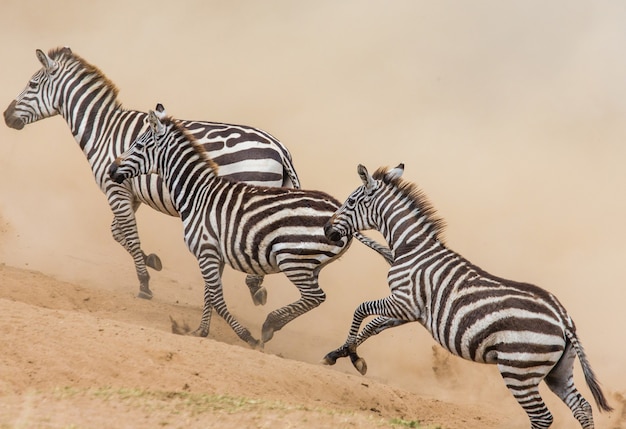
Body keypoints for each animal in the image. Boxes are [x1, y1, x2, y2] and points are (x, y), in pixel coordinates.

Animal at [3, 46, 300, 302]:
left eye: (32, 85)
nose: (6, 116)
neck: (104, 130)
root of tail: (280, 148)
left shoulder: (116, 190)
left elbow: (130, 235)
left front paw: (144, 283)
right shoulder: (129, 192)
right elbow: (117, 233)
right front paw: (152, 261)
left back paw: (252, 288)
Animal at [106, 110, 390, 348]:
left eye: (138, 145)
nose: (111, 170)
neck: (197, 192)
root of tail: (338, 211)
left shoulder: (205, 250)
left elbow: (218, 298)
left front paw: (245, 336)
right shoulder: (214, 253)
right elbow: (210, 294)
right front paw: (201, 331)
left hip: (292, 259)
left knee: (316, 297)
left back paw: (269, 325)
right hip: (311, 264)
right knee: (312, 297)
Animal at [322, 164, 608, 428]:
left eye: (350, 202)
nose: (326, 229)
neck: (412, 248)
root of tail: (563, 320)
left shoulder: (404, 302)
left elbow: (361, 309)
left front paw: (350, 354)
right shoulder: (409, 312)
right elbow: (373, 326)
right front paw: (343, 354)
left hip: (518, 370)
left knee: (542, 417)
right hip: (558, 371)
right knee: (582, 407)